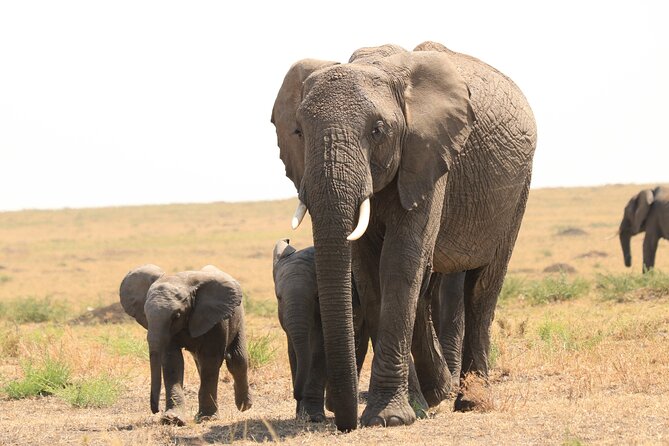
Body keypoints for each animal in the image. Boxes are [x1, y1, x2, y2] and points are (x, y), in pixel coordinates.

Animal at [119, 264, 252, 425]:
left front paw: (207, 418)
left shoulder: (216, 320)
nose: (156, 410)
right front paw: (172, 419)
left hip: (239, 316)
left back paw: (244, 406)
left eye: (176, 316)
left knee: (237, 360)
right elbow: (172, 362)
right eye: (145, 314)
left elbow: (211, 360)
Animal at [272, 239, 369, 422]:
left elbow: (319, 350)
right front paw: (301, 415)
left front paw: (312, 417)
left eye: (317, 296)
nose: (296, 394)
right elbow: (294, 352)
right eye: (279, 298)